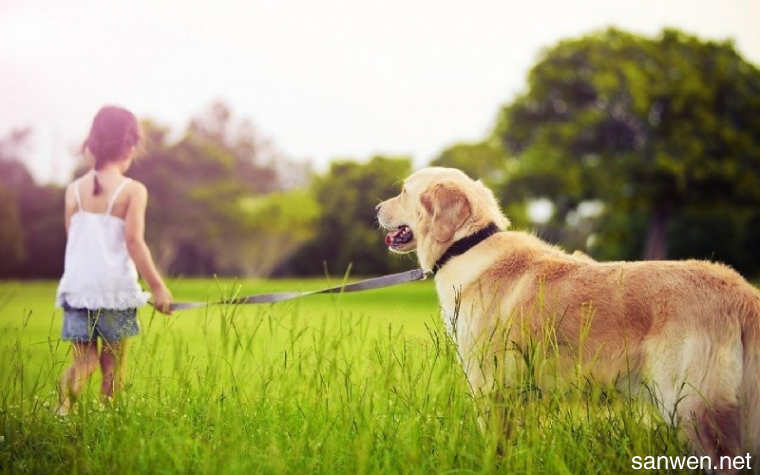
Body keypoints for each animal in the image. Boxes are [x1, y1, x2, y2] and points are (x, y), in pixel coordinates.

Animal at [376, 166, 760, 468]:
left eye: (404, 191)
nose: (376, 207)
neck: (466, 245)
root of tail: (741, 290)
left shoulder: (489, 385)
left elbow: (494, 445)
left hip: (692, 407)